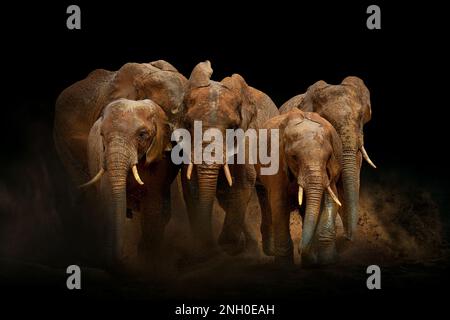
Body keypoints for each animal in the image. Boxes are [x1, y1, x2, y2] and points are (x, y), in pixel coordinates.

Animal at [80, 99, 177, 268]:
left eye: (142, 134)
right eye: (102, 135)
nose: (121, 258)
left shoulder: (159, 159)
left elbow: (152, 207)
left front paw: (147, 262)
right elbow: (109, 199)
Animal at [178, 61, 278, 256]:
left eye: (232, 127)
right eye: (189, 124)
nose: (210, 246)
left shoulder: (247, 136)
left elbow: (243, 180)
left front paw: (227, 247)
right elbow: (190, 183)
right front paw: (202, 248)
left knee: (264, 192)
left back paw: (269, 251)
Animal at [255, 109, 342, 266]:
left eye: (328, 157)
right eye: (294, 157)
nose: (300, 250)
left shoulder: (331, 168)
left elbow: (331, 198)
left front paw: (326, 260)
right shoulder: (277, 162)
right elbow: (279, 203)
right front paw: (285, 265)